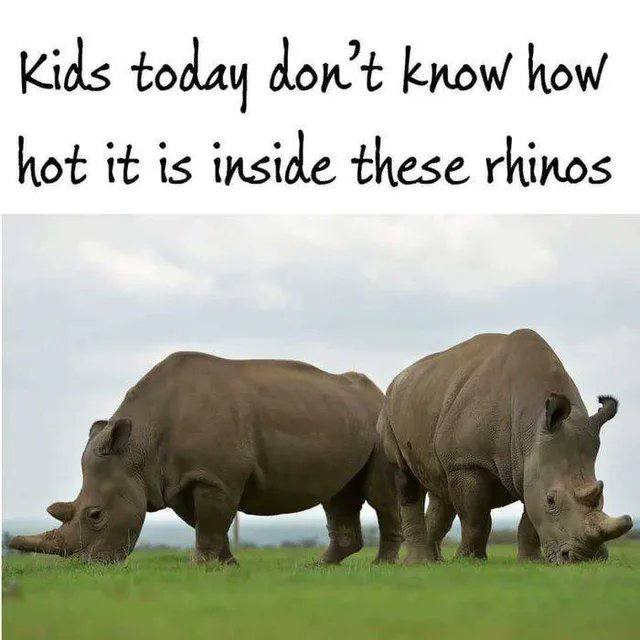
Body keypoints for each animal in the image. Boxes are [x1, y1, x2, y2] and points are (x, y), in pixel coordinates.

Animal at [10, 352, 401, 564]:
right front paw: (225, 565)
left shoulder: (214, 476)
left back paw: (380, 566)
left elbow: (212, 522)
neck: (137, 449)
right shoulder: (180, 480)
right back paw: (318, 567)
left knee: (379, 495)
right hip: (342, 418)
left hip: (381, 424)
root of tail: (377, 392)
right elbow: (207, 523)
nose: (89, 566)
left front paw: (200, 566)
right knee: (337, 495)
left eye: (95, 515)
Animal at [378, 329, 633, 564]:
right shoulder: (468, 463)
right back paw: (418, 563)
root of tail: (399, 378)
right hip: (390, 410)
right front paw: (469, 561)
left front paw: (530, 562)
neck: (531, 422)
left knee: (441, 488)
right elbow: (475, 518)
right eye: (551, 500)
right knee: (407, 480)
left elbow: (529, 519)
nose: (587, 558)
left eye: (602, 497)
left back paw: (434, 563)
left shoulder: (531, 465)